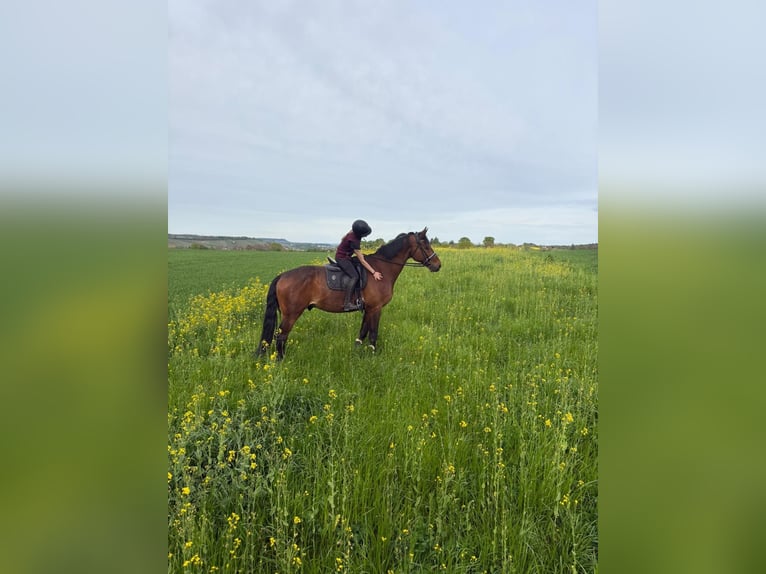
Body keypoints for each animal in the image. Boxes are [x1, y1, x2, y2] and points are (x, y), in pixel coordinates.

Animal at [257, 227, 441, 359]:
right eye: (425, 245)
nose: (437, 265)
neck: (381, 269)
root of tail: (282, 276)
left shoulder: (368, 308)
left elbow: (363, 331)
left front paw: (358, 349)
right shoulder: (376, 308)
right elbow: (373, 333)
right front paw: (373, 355)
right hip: (292, 313)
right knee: (281, 336)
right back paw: (281, 360)